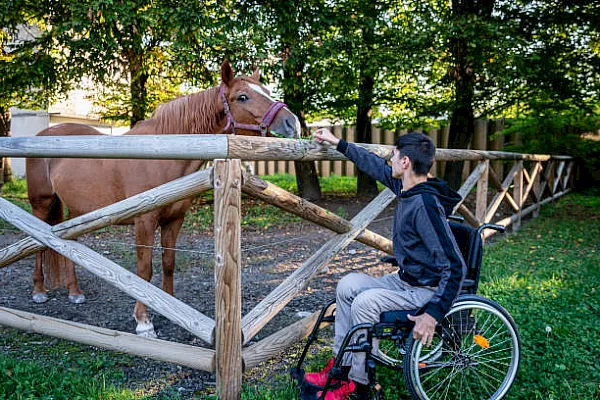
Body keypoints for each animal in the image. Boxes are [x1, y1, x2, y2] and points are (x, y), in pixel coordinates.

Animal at [25, 61, 300, 338]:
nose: (292, 123)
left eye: (266, 90)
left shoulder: (174, 220)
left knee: (68, 244)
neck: (163, 153)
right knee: (37, 244)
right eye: (242, 97)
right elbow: (144, 269)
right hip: (41, 204)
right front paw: (143, 321)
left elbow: (168, 262)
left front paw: (172, 307)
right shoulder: (144, 222)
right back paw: (39, 291)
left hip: (77, 212)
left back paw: (74, 292)